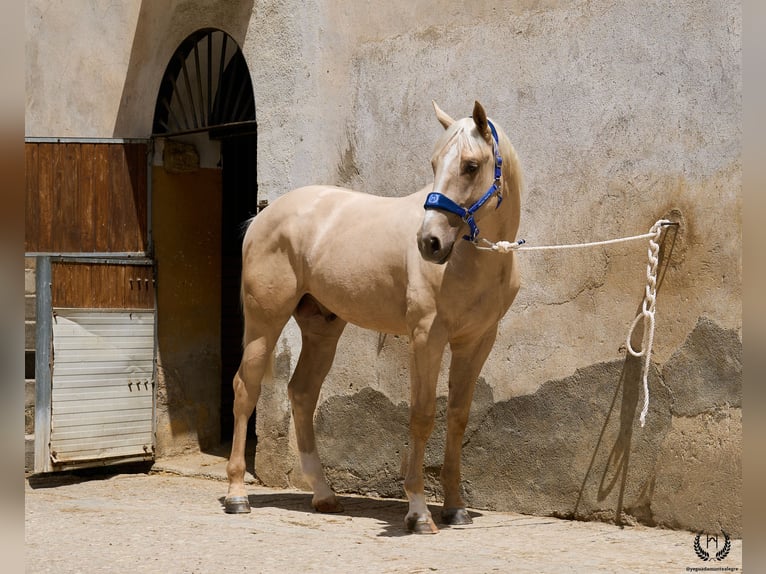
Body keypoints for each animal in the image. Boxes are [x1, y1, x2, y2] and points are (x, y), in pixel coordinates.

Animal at [224, 100, 523, 534]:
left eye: (470, 165)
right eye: (434, 163)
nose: (429, 243)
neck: (473, 260)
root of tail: (262, 217)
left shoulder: (477, 342)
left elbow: (458, 417)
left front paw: (456, 508)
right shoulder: (426, 338)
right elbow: (422, 415)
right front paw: (418, 512)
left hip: (322, 328)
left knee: (302, 393)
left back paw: (324, 494)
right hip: (265, 323)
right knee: (246, 389)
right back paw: (237, 495)